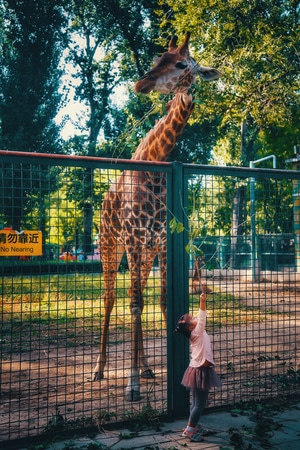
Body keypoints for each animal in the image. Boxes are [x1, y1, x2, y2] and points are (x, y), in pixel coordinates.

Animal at [92, 32, 221, 400]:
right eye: (156, 58)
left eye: (180, 64)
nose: (141, 83)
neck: (156, 167)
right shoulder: (135, 240)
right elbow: (135, 305)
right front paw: (132, 385)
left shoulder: (162, 244)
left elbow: (162, 302)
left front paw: (177, 369)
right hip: (111, 247)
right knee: (111, 299)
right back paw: (100, 369)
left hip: (144, 254)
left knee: (136, 296)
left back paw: (148, 367)